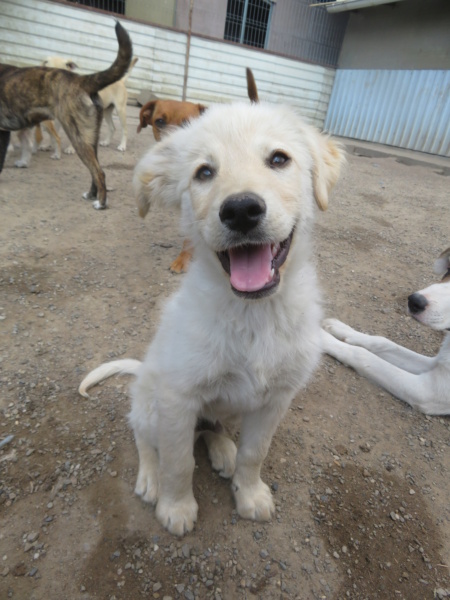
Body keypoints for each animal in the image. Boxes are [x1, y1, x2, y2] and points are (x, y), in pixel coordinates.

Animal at [0, 22, 133, 210]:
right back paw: (92, 195)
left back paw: (101, 203)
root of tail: (80, 80)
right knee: (95, 169)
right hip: (89, 137)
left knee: (99, 172)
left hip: (79, 137)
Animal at [79, 101, 342, 536]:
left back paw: (223, 451)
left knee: (211, 428)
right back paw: (150, 477)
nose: (241, 210)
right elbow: (178, 462)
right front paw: (176, 507)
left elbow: (255, 453)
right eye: (204, 172)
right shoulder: (177, 399)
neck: (253, 314)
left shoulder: (276, 399)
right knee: (143, 437)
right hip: (150, 404)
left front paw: (249, 494)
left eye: (279, 159)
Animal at [322, 246, 450, 414]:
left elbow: (362, 355)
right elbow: (383, 342)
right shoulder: (436, 363)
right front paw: (343, 330)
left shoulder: (428, 391)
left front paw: (319, 337)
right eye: (449, 269)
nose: (414, 301)